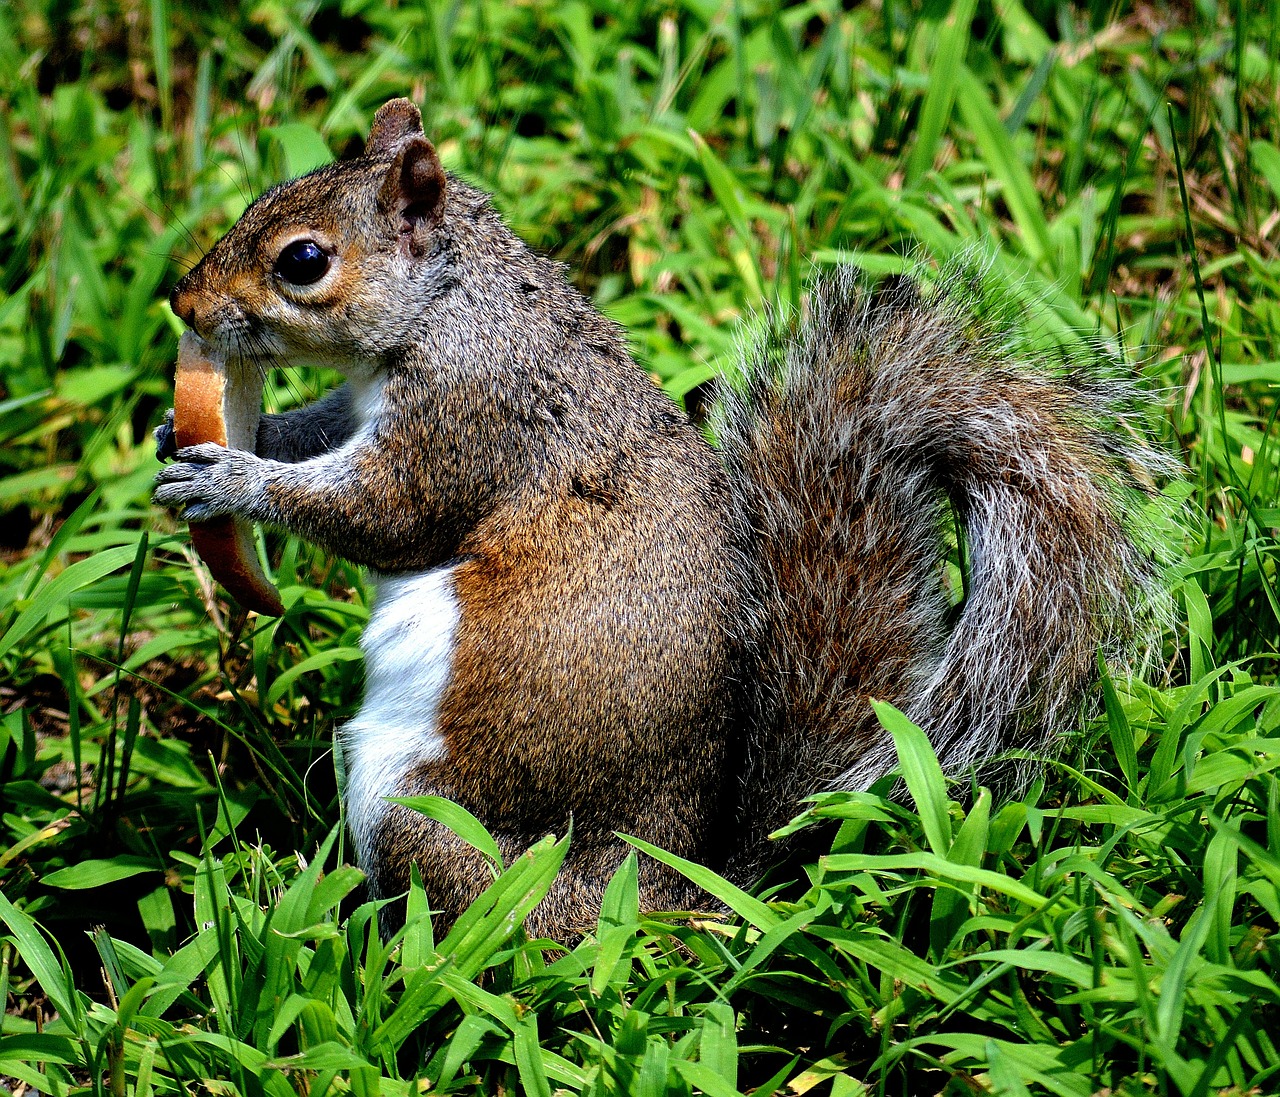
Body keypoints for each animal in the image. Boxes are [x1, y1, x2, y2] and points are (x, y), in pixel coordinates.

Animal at [152, 98, 1172, 936]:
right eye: (266, 194)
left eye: (304, 260)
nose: (183, 300)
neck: (451, 304)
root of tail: (671, 898)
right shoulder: (368, 402)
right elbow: (316, 431)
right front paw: (206, 432)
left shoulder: (470, 419)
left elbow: (386, 516)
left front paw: (229, 478)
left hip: (426, 823)